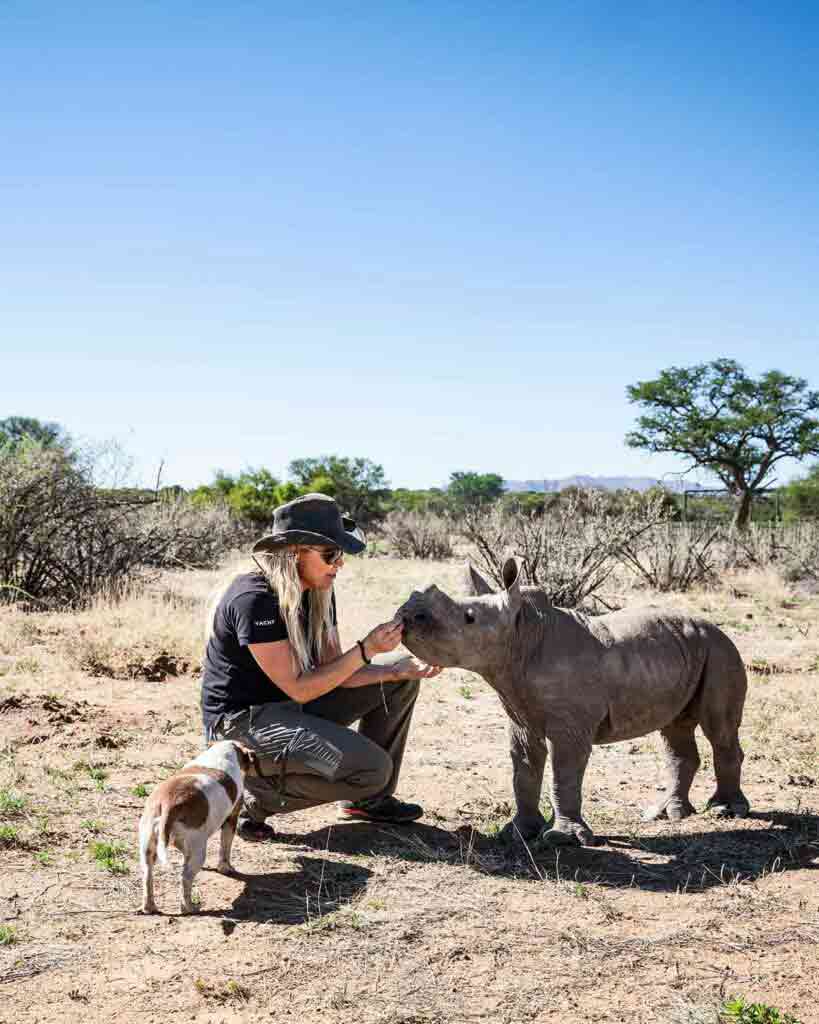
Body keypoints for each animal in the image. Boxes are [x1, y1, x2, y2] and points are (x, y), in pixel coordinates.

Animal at [137, 741, 259, 917]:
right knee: (185, 878)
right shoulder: (231, 819)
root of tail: (168, 802)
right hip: (198, 850)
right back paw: (189, 908)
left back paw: (149, 907)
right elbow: (225, 848)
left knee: (148, 875)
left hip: (148, 847)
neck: (224, 752)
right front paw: (225, 868)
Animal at [399, 561, 753, 847]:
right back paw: (667, 813)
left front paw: (563, 838)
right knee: (675, 730)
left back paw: (725, 810)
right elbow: (523, 770)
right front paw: (517, 832)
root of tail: (717, 627)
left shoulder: (570, 726)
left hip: (721, 651)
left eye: (468, 618)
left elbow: (564, 771)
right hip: (689, 650)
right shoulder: (521, 717)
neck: (520, 636)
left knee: (718, 729)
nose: (406, 616)